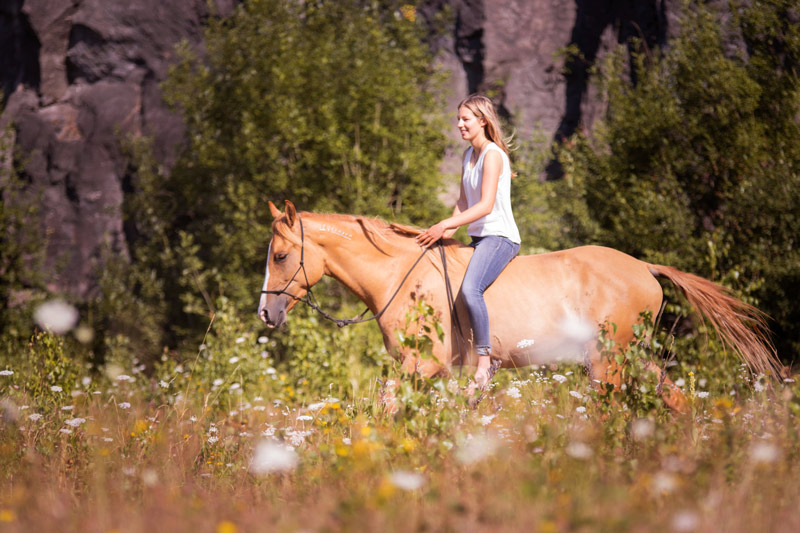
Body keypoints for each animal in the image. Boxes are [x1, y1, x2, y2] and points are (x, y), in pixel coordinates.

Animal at [258, 200, 780, 412]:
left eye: (280, 256)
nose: (266, 313)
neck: (400, 276)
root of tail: (645, 268)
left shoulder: (421, 364)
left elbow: (385, 407)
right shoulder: (428, 372)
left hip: (607, 363)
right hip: (631, 360)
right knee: (675, 400)